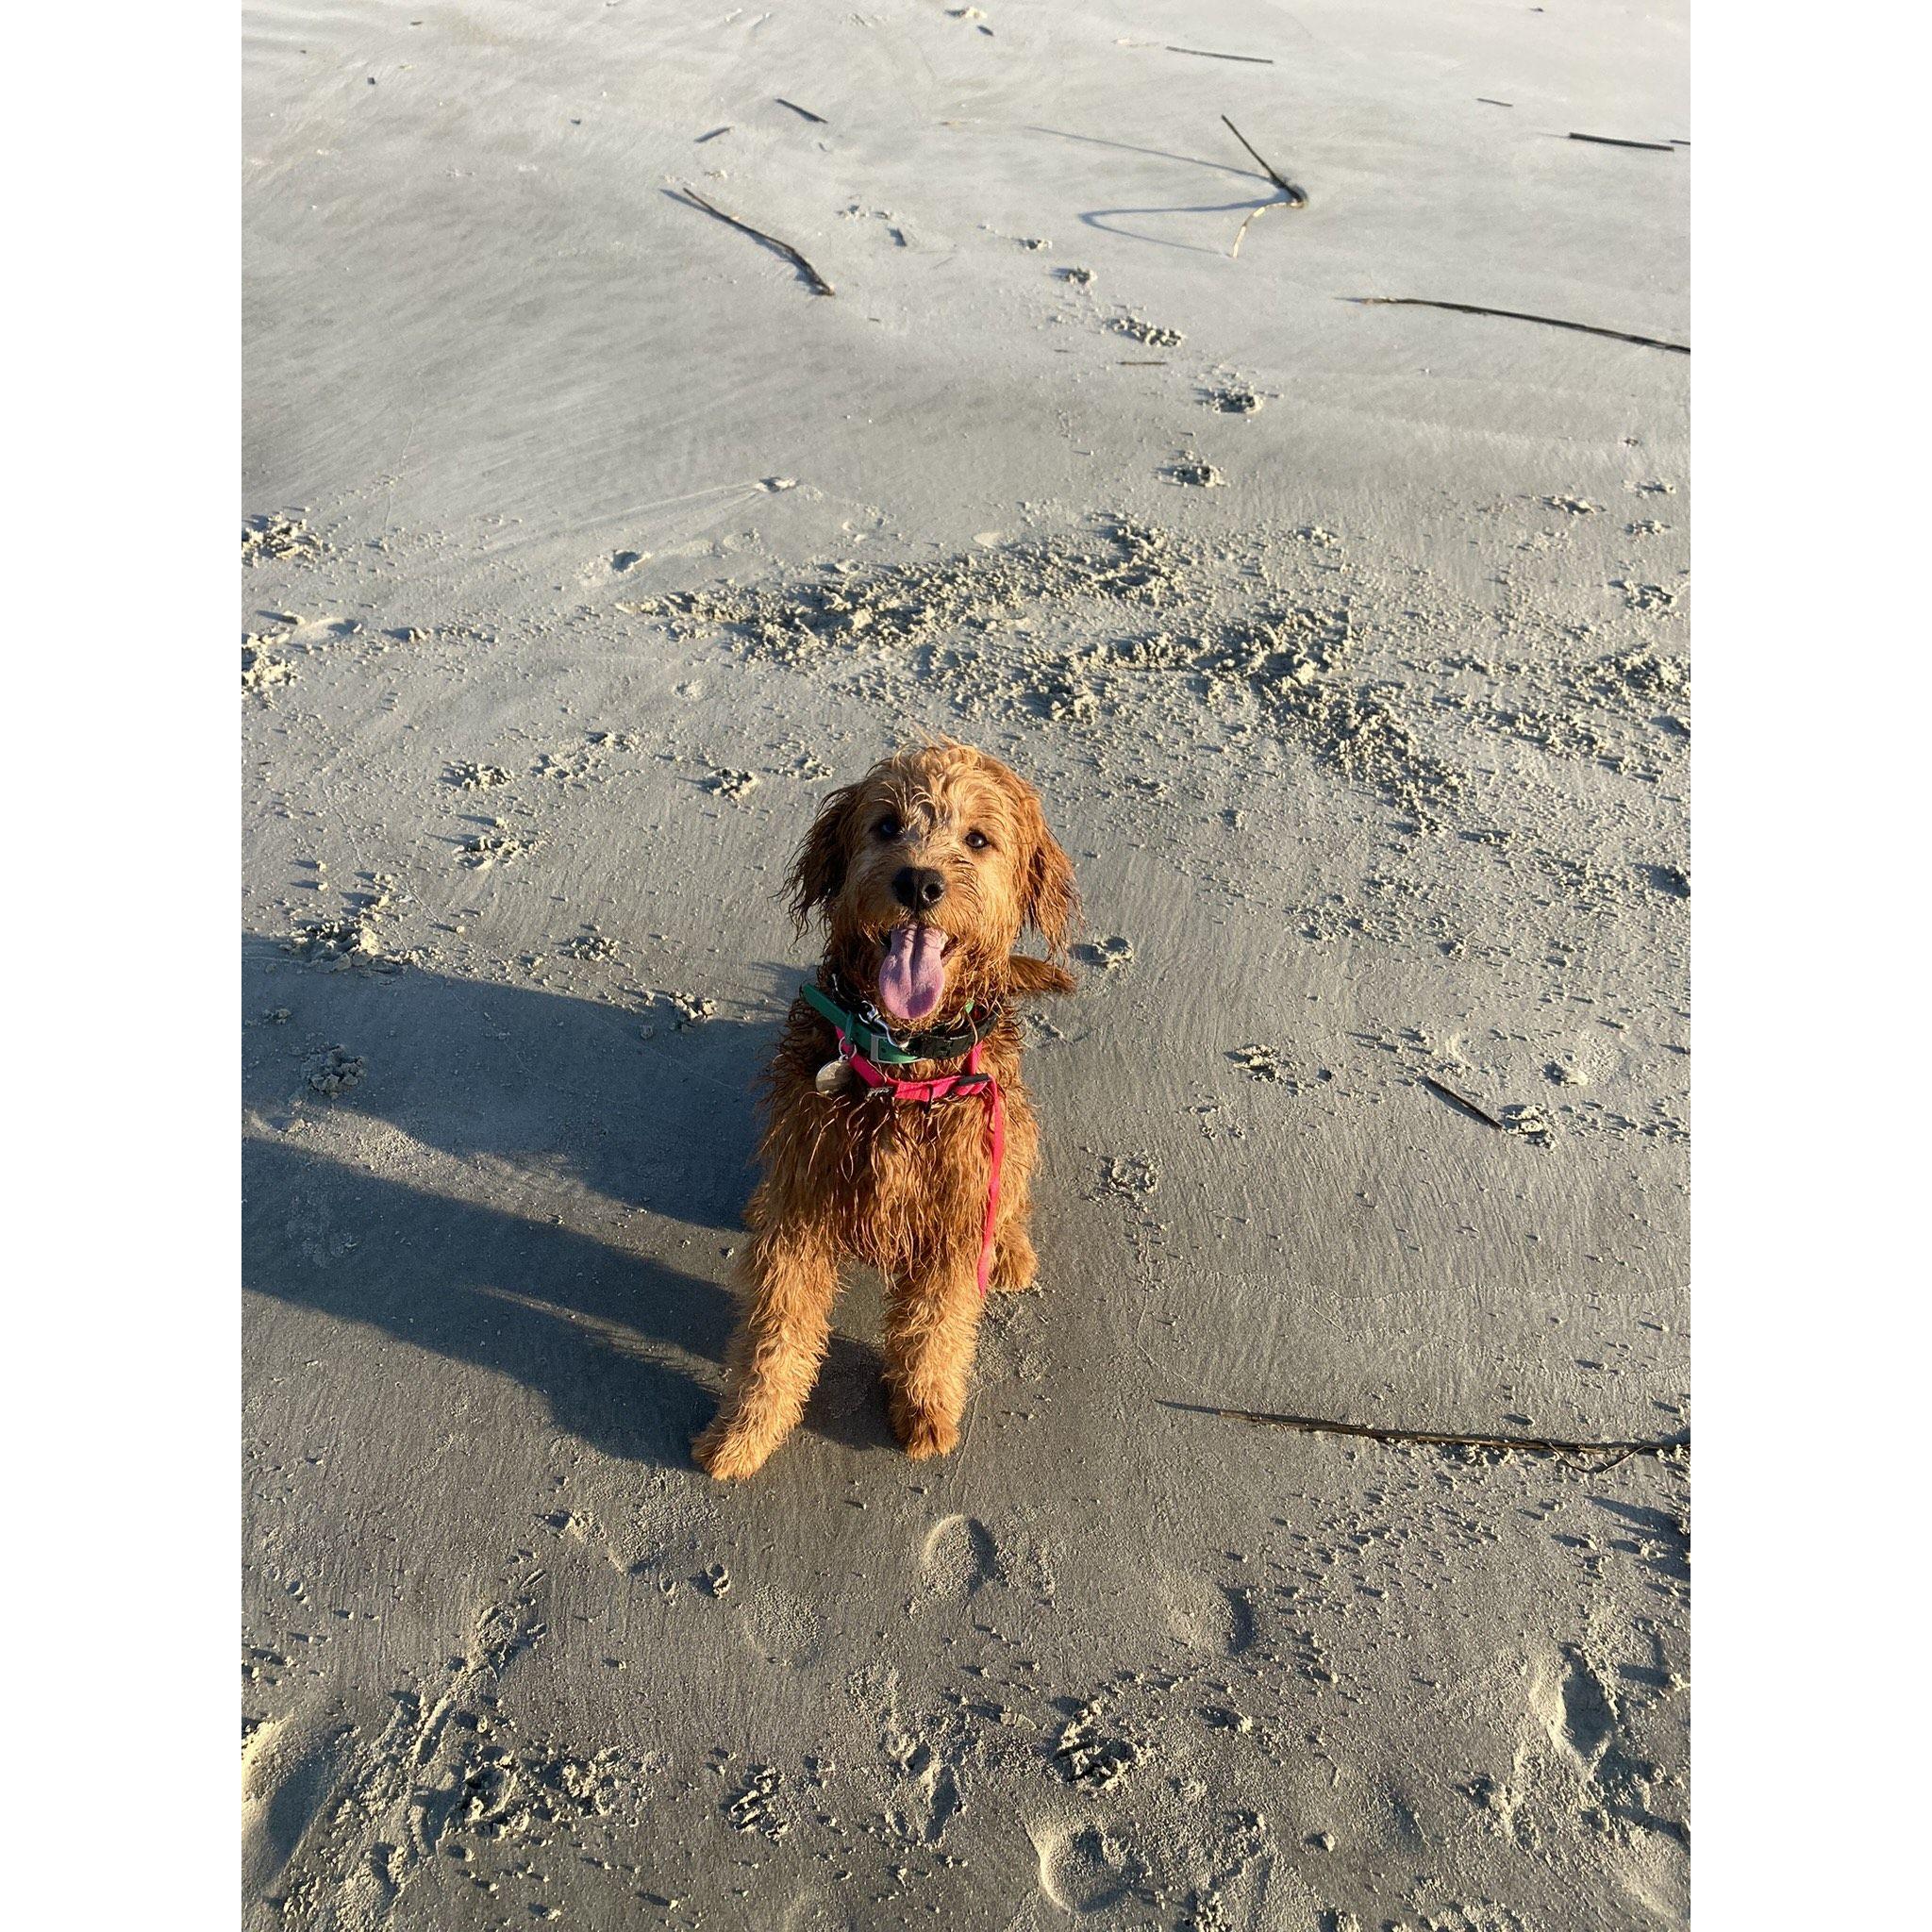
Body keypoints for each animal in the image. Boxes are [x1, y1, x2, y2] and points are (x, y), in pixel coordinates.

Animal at [695, 738, 1081, 1475]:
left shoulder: (955, 1213)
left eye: (978, 839)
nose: (920, 884)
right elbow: (774, 1335)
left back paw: (1010, 1250)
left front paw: (925, 1411)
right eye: (886, 825)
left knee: (1013, 1192)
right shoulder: (804, 1207)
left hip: (1013, 1127)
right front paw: (744, 1433)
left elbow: (935, 1328)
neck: (901, 1058)